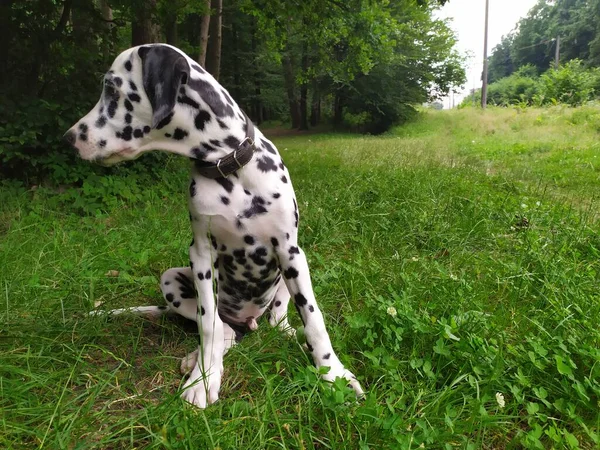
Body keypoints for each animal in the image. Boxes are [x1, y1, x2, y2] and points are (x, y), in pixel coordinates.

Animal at [63, 43, 364, 408]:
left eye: (111, 88)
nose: (68, 139)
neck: (229, 166)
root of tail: (248, 320)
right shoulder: (201, 255)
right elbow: (208, 323)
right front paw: (203, 379)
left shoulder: (290, 250)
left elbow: (314, 318)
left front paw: (333, 374)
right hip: (172, 279)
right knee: (224, 329)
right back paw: (202, 353)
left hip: (288, 273)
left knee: (276, 318)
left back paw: (282, 331)